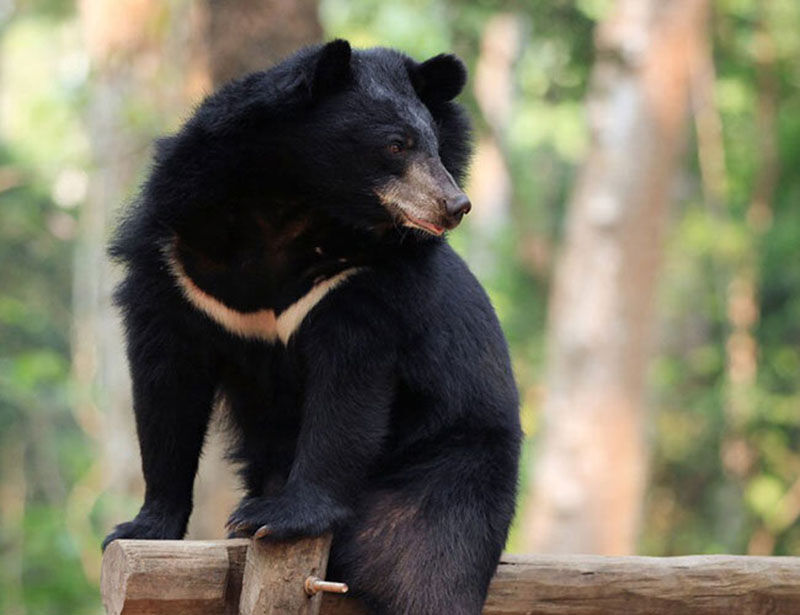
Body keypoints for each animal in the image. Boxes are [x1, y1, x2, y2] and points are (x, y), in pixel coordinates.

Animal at [103, 39, 520, 615]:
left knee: (426, 570)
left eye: (436, 146)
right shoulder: (176, 269)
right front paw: (139, 527)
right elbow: (166, 392)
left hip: (447, 471)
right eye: (396, 145)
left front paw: (277, 517)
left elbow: (346, 396)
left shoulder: (358, 282)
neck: (292, 206)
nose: (455, 205)